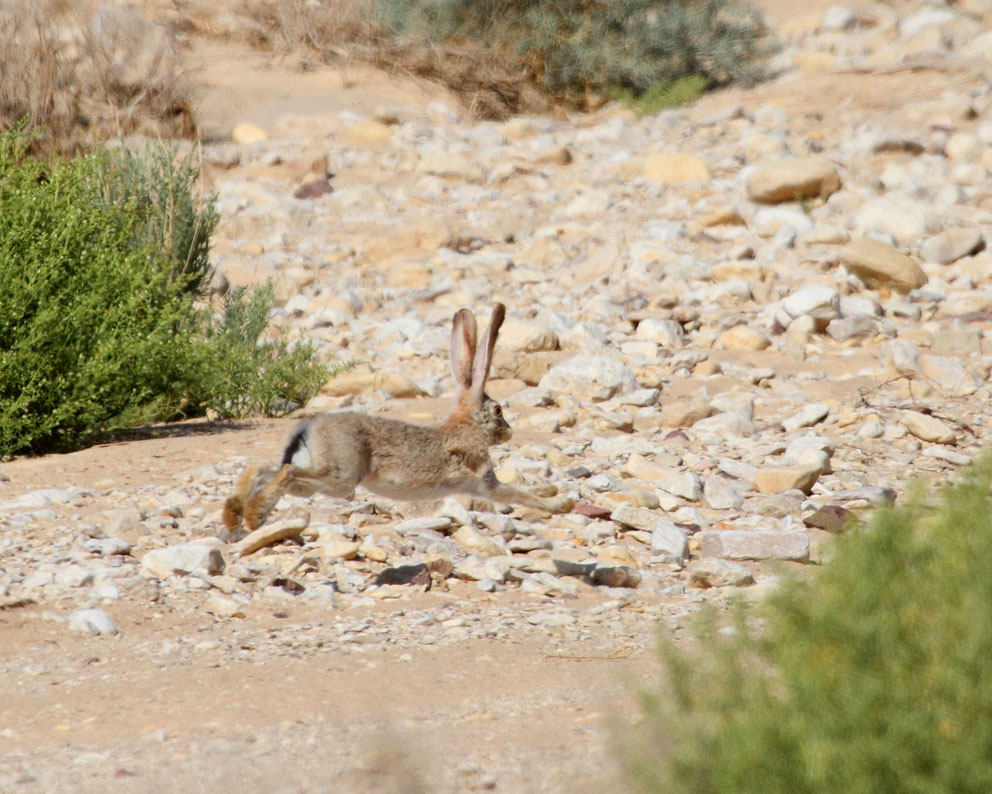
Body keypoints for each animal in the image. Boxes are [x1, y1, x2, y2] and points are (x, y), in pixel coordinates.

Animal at [222, 303, 574, 535]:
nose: (509, 432)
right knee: (287, 472)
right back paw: (253, 516)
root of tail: (308, 428)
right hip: (340, 478)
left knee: (263, 469)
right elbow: (516, 494)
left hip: (317, 478)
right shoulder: (485, 483)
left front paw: (551, 493)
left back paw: (235, 515)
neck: (466, 427)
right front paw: (560, 506)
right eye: (499, 411)